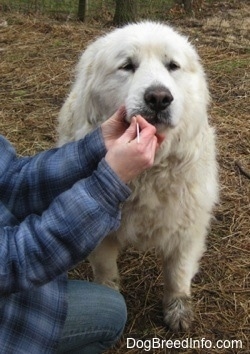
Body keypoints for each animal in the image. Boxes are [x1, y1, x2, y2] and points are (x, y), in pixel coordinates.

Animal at [57, 21, 218, 332]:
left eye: (172, 66)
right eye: (127, 66)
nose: (159, 98)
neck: (149, 174)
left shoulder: (188, 227)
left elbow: (177, 273)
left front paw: (177, 309)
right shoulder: (101, 233)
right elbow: (106, 271)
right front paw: (108, 297)